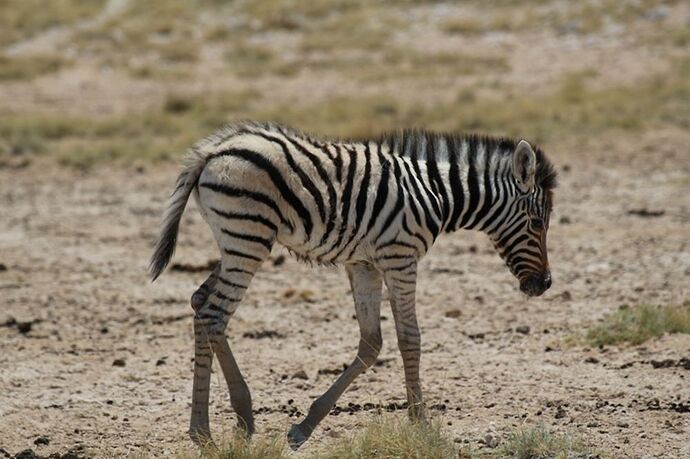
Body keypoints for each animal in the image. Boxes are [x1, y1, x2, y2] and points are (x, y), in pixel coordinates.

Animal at [148, 120, 556, 452]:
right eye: (537, 223)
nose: (545, 284)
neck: (436, 194)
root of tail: (214, 149)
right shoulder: (400, 257)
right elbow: (410, 339)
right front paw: (421, 424)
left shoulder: (364, 265)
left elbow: (372, 343)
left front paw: (306, 426)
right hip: (248, 238)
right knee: (215, 315)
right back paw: (235, 421)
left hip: (235, 242)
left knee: (199, 303)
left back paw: (205, 430)